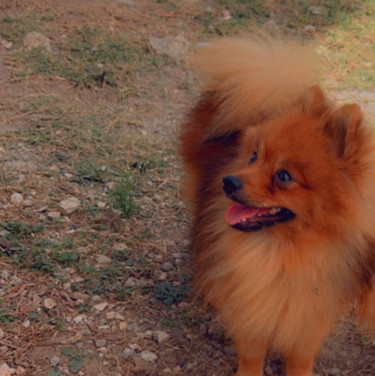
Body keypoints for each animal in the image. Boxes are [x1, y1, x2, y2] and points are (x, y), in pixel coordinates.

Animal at [179, 36, 375, 376]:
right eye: (254, 157)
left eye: (284, 176)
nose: (229, 182)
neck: (285, 253)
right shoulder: (251, 299)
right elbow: (251, 351)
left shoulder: (313, 311)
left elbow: (301, 355)